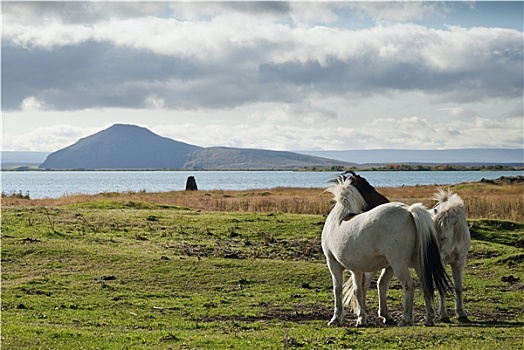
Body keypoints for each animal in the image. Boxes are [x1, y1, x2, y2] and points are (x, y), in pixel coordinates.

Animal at [322, 175, 452, 328]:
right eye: (370, 188)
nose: (384, 199)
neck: (339, 218)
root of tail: (409, 211)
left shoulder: (333, 263)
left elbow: (338, 289)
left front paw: (336, 318)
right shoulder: (357, 269)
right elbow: (359, 290)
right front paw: (362, 319)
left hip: (398, 264)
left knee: (409, 286)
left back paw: (405, 320)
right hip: (418, 262)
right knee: (425, 285)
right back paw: (429, 319)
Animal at [344, 187, 470, 324]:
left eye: (443, 238)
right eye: (434, 235)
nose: (432, 255)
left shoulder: (459, 262)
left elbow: (458, 287)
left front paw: (461, 314)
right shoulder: (441, 264)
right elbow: (441, 286)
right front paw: (443, 315)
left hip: (389, 265)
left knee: (380, 284)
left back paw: (382, 315)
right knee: (364, 285)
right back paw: (362, 316)